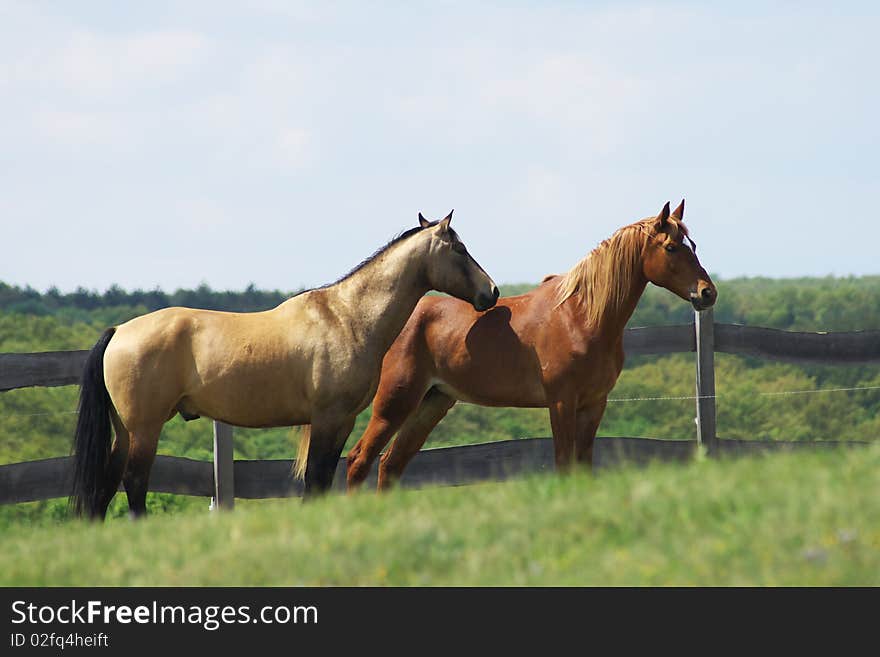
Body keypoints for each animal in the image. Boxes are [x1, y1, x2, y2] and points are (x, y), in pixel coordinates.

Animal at [70, 210, 496, 516]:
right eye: (459, 249)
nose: (490, 292)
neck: (347, 317)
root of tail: (119, 331)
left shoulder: (342, 422)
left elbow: (322, 479)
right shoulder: (327, 419)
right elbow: (316, 478)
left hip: (125, 431)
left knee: (106, 484)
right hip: (145, 429)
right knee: (134, 482)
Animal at [348, 202, 720, 490]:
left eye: (693, 245)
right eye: (671, 247)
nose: (707, 293)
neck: (581, 316)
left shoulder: (594, 404)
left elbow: (582, 466)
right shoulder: (561, 403)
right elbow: (564, 464)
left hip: (431, 403)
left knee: (390, 464)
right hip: (394, 403)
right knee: (359, 460)